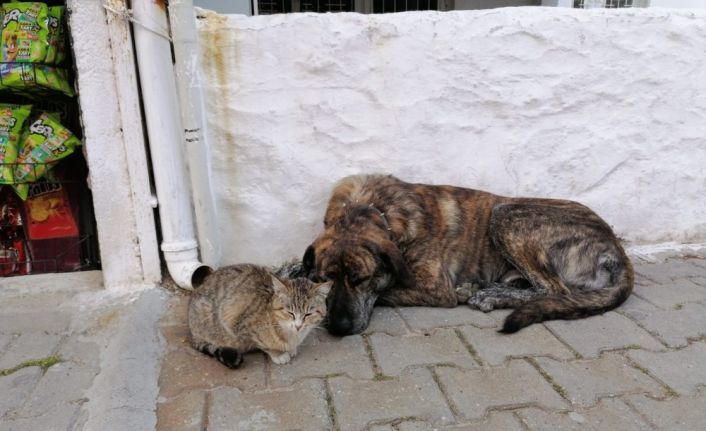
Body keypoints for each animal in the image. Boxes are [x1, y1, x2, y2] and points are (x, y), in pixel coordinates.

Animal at [188, 263, 331, 368]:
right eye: (290, 312)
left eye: (308, 314)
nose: (298, 326)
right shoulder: (236, 322)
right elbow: (262, 344)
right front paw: (278, 354)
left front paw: (291, 349)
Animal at [302, 174, 633, 336]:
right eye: (324, 280)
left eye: (362, 279)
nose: (339, 328)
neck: (373, 208)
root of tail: (616, 246)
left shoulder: (435, 288)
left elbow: (388, 290)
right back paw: (484, 288)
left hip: (508, 213)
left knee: (554, 290)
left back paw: (489, 295)